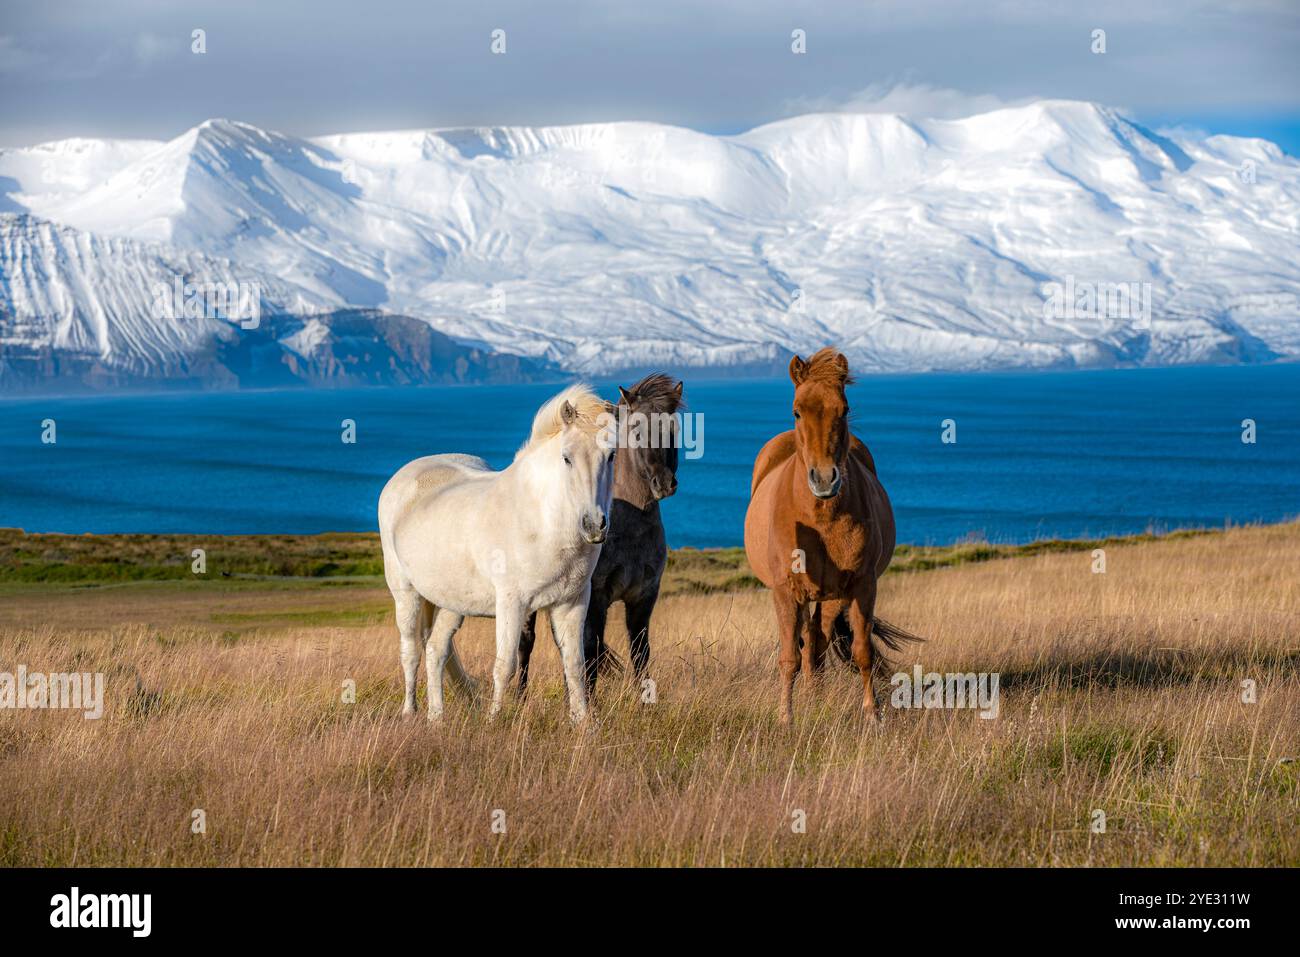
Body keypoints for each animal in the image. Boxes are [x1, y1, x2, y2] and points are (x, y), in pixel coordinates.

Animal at [378, 384, 616, 723]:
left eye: (611, 455)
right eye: (566, 458)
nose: (594, 525)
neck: (540, 518)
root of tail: (403, 476)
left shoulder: (571, 603)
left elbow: (574, 666)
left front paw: (583, 723)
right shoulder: (511, 603)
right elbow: (505, 666)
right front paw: (494, 720)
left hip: (451, 602)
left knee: (436, 649)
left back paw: (437, 717)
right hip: (406, 594)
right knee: (411, 651)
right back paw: (410, 713)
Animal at [517, 373, 684, 698]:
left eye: (674, 429)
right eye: (636, 430)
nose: (664, 483)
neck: (631, 531)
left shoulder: (643, 598)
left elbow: (640, 652)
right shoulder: (596, 598)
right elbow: (590, 653)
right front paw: (589, 703)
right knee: (526, 643)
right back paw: (519, 697)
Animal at [743, 348, 921, 725]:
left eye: (845, 409)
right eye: (797, 410)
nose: (825, 479)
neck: (820, 520)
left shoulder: (861, 586)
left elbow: (862, 651)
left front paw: (872, 714)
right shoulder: (786, 591)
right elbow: (789, 657)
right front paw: (786, 718)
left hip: (831, 597)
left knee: (817, 641)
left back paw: (816, 698)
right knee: (807, 643)